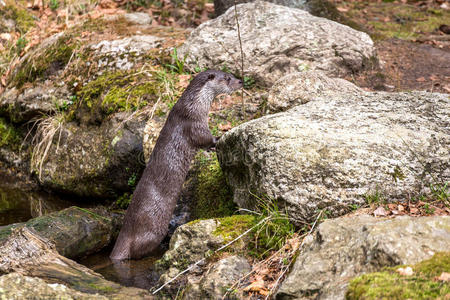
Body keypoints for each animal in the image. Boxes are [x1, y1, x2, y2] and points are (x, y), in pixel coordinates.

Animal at [110, 69, 243, 260]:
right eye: (227, 78)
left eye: (230, 74)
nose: (240, 82)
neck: (194, 105)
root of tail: (125, 234)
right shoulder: (194, 123)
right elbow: (205, 139)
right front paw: (218, 138)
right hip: (150, 230)